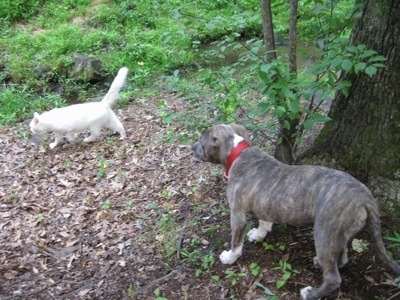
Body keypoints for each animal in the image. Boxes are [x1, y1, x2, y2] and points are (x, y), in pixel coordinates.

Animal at [191, 123, 400, 298]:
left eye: (201, 140)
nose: (192, 147)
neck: (237, 152)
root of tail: (365, 197)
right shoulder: (264, 203)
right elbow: (264, 221)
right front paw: (259, 234)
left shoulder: (238, 215)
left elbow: (236, 241)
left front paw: (230, 257)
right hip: (338, 233)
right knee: (342, 256)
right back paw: (322, 263)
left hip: (324, 232)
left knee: (333, 278)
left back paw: (311, 293)